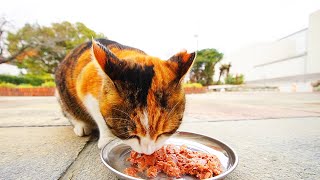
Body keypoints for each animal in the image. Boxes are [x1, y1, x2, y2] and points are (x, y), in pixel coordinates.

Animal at [54, 38, 195, 154]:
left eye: (163, 133)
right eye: (131, 135)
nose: (147, 152)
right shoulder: (85, 88)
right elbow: (100, 116)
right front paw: (107, 138)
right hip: (62, 94)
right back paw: (81, 126)